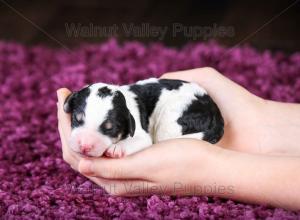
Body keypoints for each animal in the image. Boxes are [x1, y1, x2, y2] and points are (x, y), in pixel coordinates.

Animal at [63, 78, 224, 157]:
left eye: (110, 128)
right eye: (77, 119)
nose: (84, 146)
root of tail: (215, 109)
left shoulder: (141, 134)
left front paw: (116, 148)